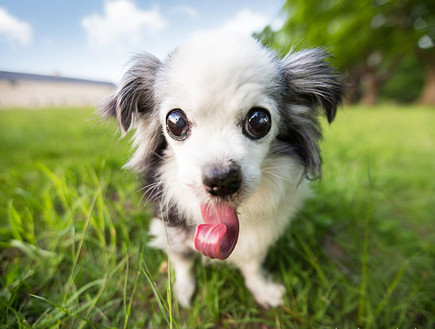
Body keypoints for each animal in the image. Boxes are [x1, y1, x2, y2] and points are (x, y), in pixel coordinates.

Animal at [101, 32, 344, 308]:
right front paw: (183, 291)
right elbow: (182, 260)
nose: (221, 179)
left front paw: (262, 290)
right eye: (176, 122)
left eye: (259, 120)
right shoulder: (172, 226)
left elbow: (252, 264)